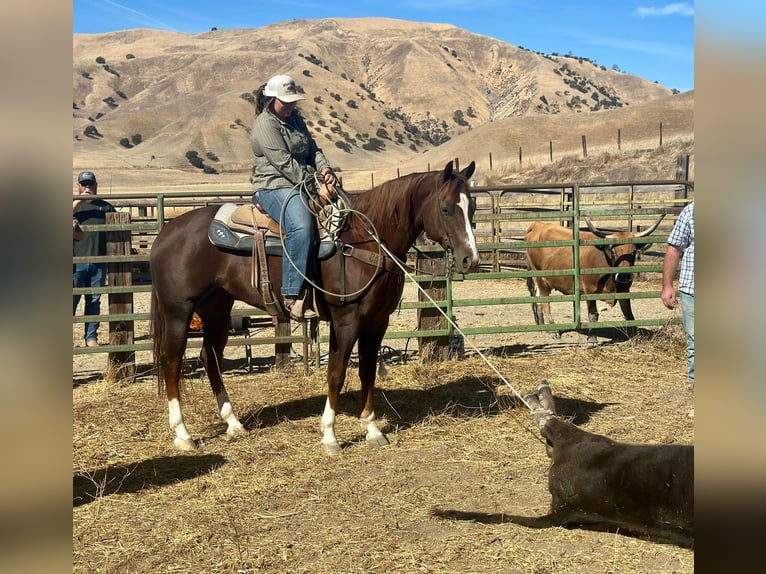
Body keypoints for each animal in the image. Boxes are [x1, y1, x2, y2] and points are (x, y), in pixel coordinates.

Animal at [150, 161, 480, 454]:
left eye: (473, 207)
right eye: (446, 209)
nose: (470, 259)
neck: (363, 242)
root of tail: (167, 233)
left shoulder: (377, 322)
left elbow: (368, 372)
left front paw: (372, 430)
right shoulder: (346, 321)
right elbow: (336, 372)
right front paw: (330, 436)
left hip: (217, 308)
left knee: (210, 357)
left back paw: (233, 424)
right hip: (179, 311)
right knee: (172, 362)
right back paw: (183, 434)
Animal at [528, 216, 664, 342]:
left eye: (634, 251)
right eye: (613, 251)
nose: (624, 276)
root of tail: (537, 225)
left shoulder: (624, 290)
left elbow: (628, 313)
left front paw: (635, 335)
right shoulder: (589, 291)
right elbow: (593, 314)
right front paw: (592, 338)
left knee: (538, 301)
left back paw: (543, 327)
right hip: (540, 278)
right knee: (545, 303)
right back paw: (553, 331)